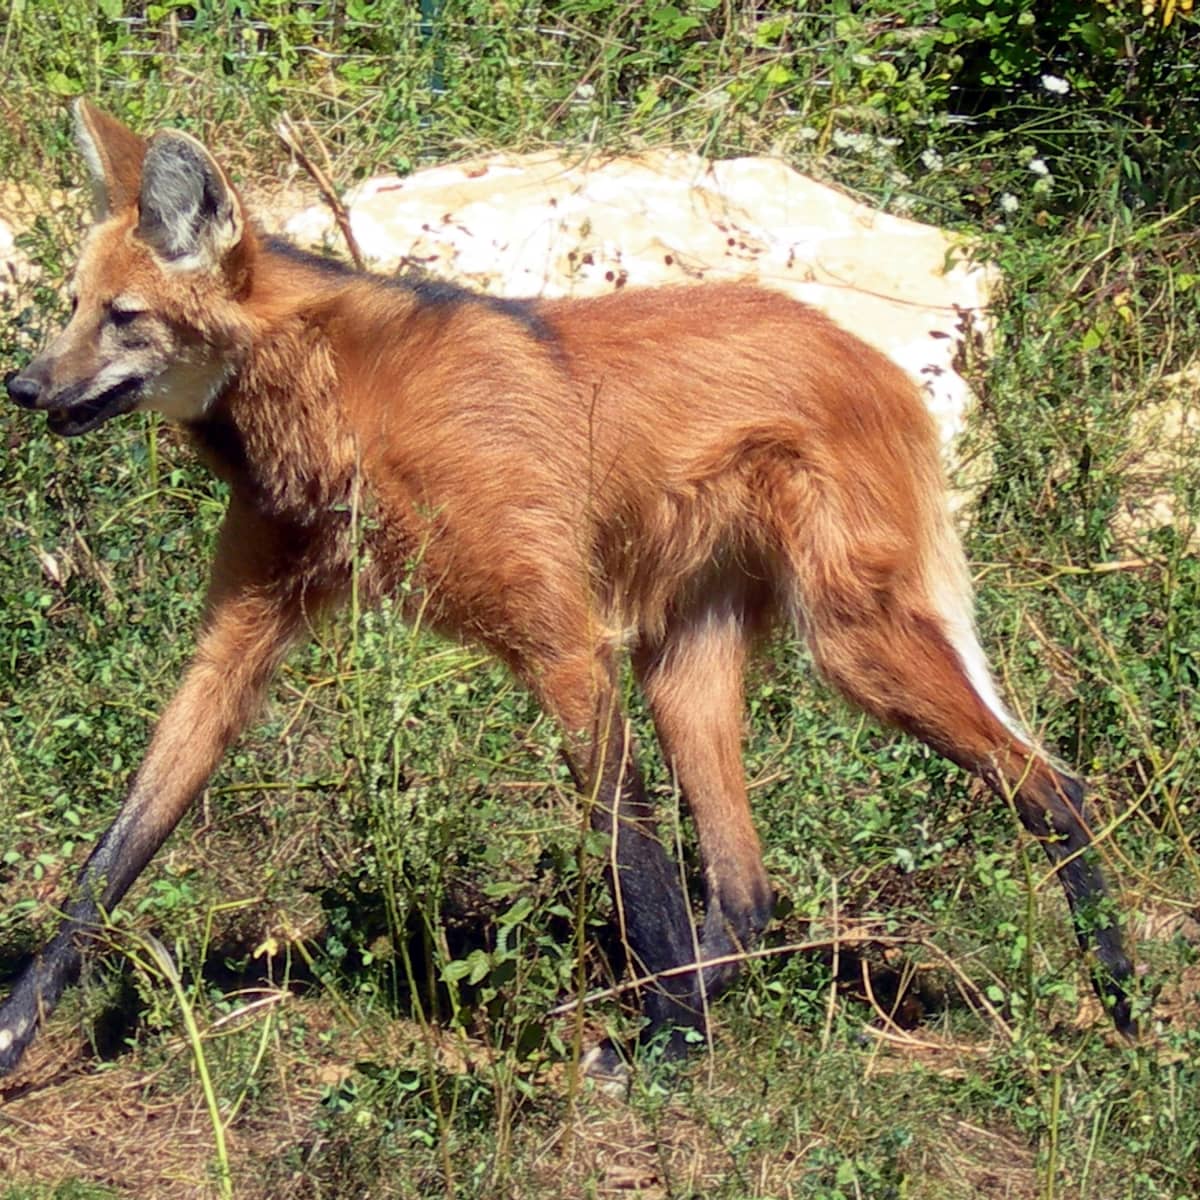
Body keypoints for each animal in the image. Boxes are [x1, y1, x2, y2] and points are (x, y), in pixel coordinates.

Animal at [0, 103, 1128, 1080]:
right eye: (70, 308)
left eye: (125, 318)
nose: (23, 386)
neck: (332, 407)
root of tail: (876, 360)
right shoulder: (241, 639)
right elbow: (117, 851)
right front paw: (17, 1029)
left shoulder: (565, 645)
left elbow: (635, 867)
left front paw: (667, 1054)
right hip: (686, 663)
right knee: (747, 888)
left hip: (853, 643)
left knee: (1054, 788)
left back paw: (1118, 1011)